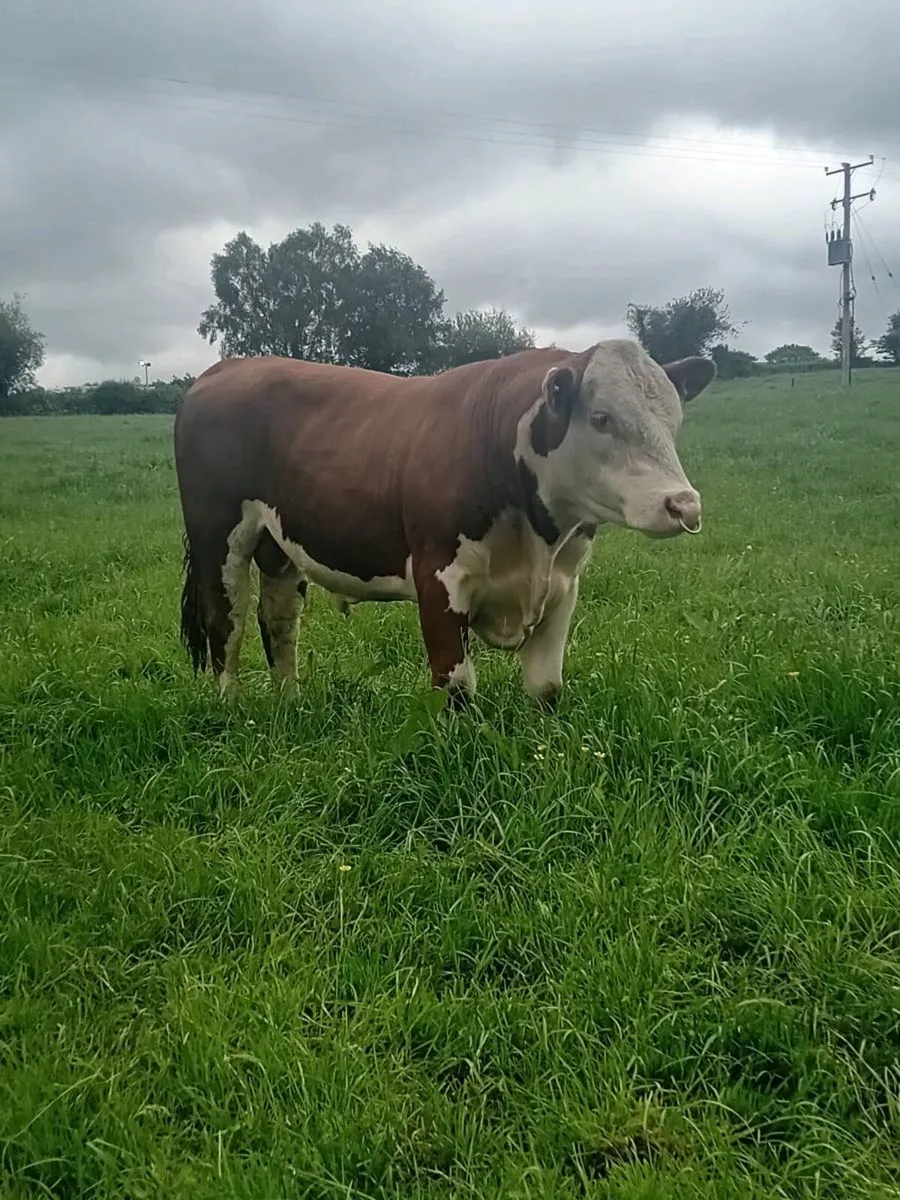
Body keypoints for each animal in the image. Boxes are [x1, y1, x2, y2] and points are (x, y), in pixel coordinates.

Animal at [173, 339, 715, 708]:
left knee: (279, 619)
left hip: (280, 543)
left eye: (674, 420)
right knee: (226, 621)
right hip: (217, 535)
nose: (683, 505)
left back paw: (290, 702)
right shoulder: (438, 578)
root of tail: (230, 365)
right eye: (602, 418)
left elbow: (546, 687)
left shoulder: (564, 586)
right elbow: (456, 686)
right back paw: (233, 708)